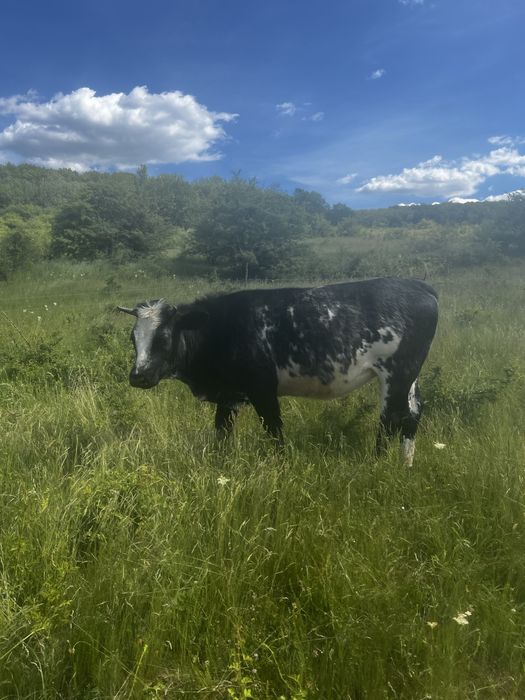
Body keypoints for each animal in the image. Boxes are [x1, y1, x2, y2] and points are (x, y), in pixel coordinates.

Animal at [118, 277, 438, 465]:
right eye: (133, 338)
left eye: (164, 337)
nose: (138, 376)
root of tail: (418, 285)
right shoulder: (229, 394)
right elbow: (222, 433)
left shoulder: (262, 389)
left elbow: (274, 431)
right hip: (410, 375)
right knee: (412, 414)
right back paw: (404, 466)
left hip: (396, 372)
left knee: (391, 418)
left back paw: (376, 465)